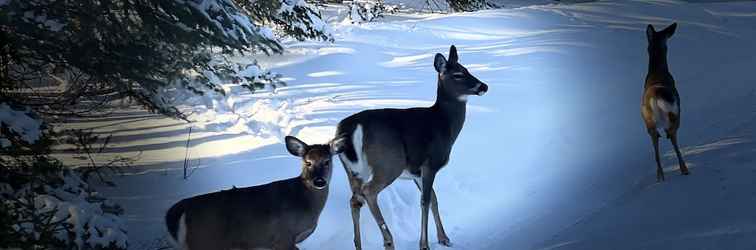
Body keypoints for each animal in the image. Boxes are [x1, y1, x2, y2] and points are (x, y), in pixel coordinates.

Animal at [165, 137, 348, 250]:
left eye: (327, 161)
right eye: (308, 162)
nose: (319, 181)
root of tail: (177, 211)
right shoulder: (282, 237)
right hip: (205, 241)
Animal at [334, 45, 488, 250]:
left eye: (467, 69)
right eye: (457, 74)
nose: (484, 86)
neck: (445, 125)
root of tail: (350, 128)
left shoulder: (416, 171)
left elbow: (434, 199)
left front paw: (444, 238)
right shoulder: (430, 163)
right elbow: (425, 201)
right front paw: (424, 244)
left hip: (353, 171)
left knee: (355, 200)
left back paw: (359, 245)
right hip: (389, 163)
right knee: (369, 192)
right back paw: (388, 240)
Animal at [640, 22, 688, 182]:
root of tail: (655, 97)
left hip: (648, 121)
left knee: (656, 144)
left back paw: (660, 176)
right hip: (674, 113)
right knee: (672, 136)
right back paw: (685, 169)